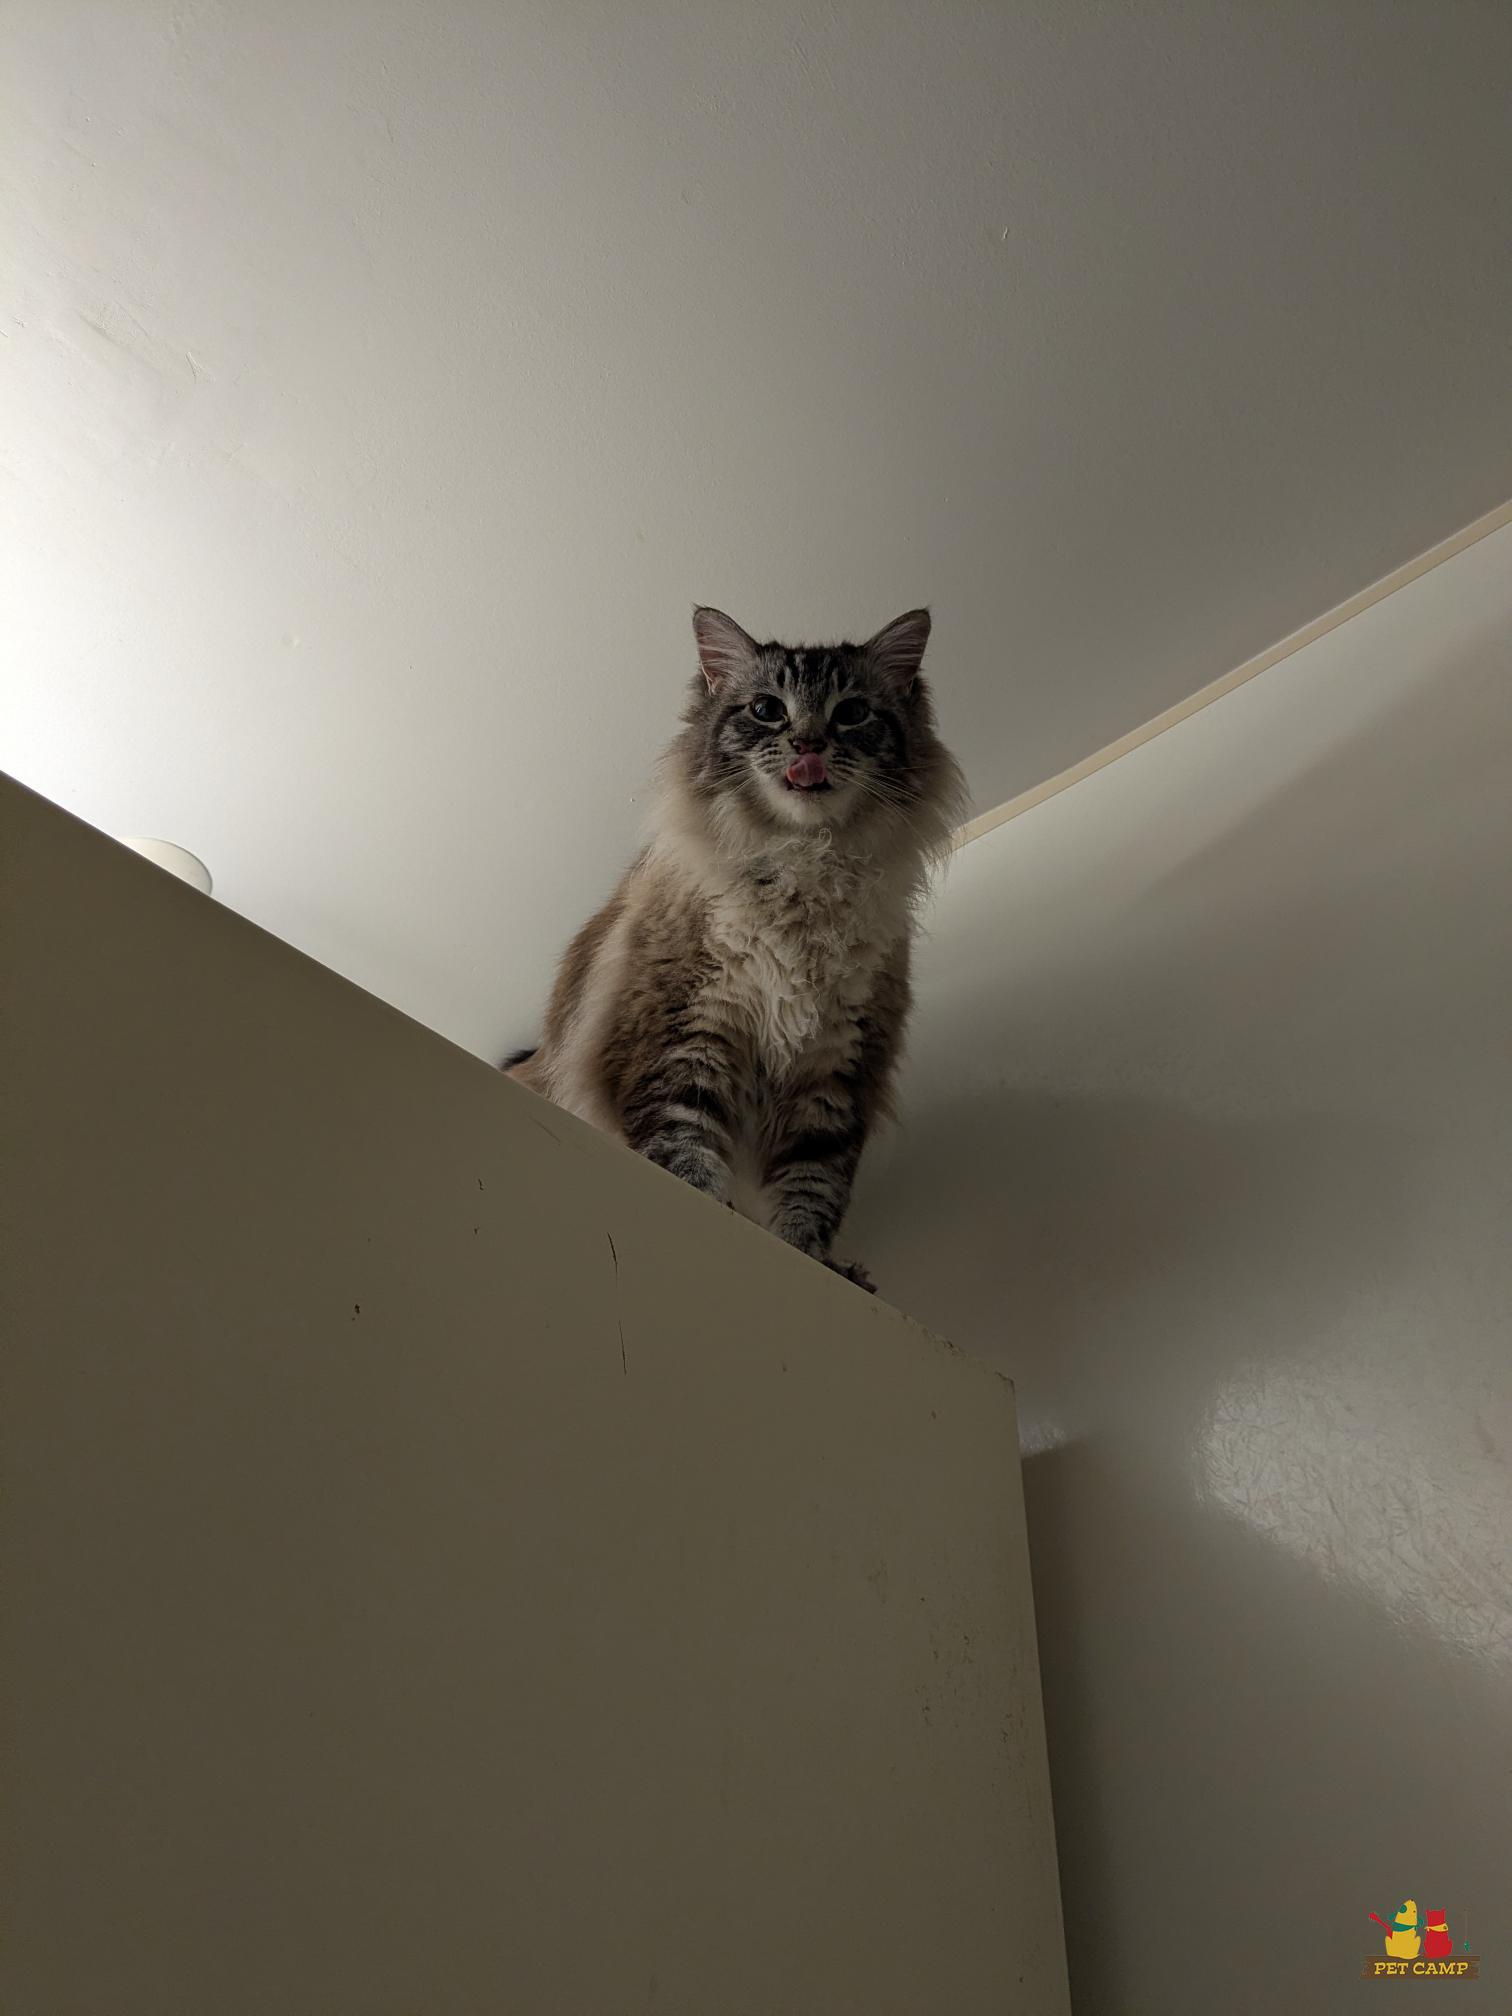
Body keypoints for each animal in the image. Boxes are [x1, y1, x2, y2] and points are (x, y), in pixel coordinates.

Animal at [505, 605, 966, 1290]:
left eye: (852, 712)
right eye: (767, 710)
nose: (808, 745)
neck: (806, 871)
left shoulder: (833, 1075)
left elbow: (812, 1192)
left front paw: (817, 1265)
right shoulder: (689, 1036)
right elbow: (686, 1149)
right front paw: (713, 1211)